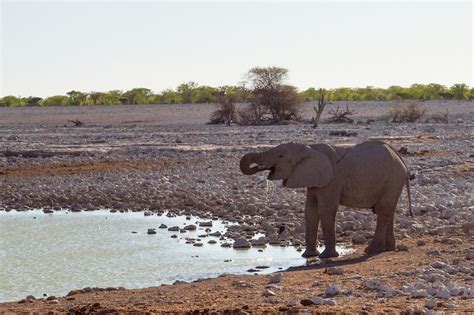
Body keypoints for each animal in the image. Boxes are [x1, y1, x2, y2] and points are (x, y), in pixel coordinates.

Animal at [241, 141, 412, 260]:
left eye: (281, 156)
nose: (258, 167)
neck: (309, 148)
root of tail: (401, 159)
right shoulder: (314, 179)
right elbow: (310, 210)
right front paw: (308, 256)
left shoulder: (332, 180)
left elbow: (326, 209)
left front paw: (327, 257)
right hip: (393, 181)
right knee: (389, 210)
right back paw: (388, 249)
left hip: (393, 179)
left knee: (383, 210)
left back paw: (371, 251)